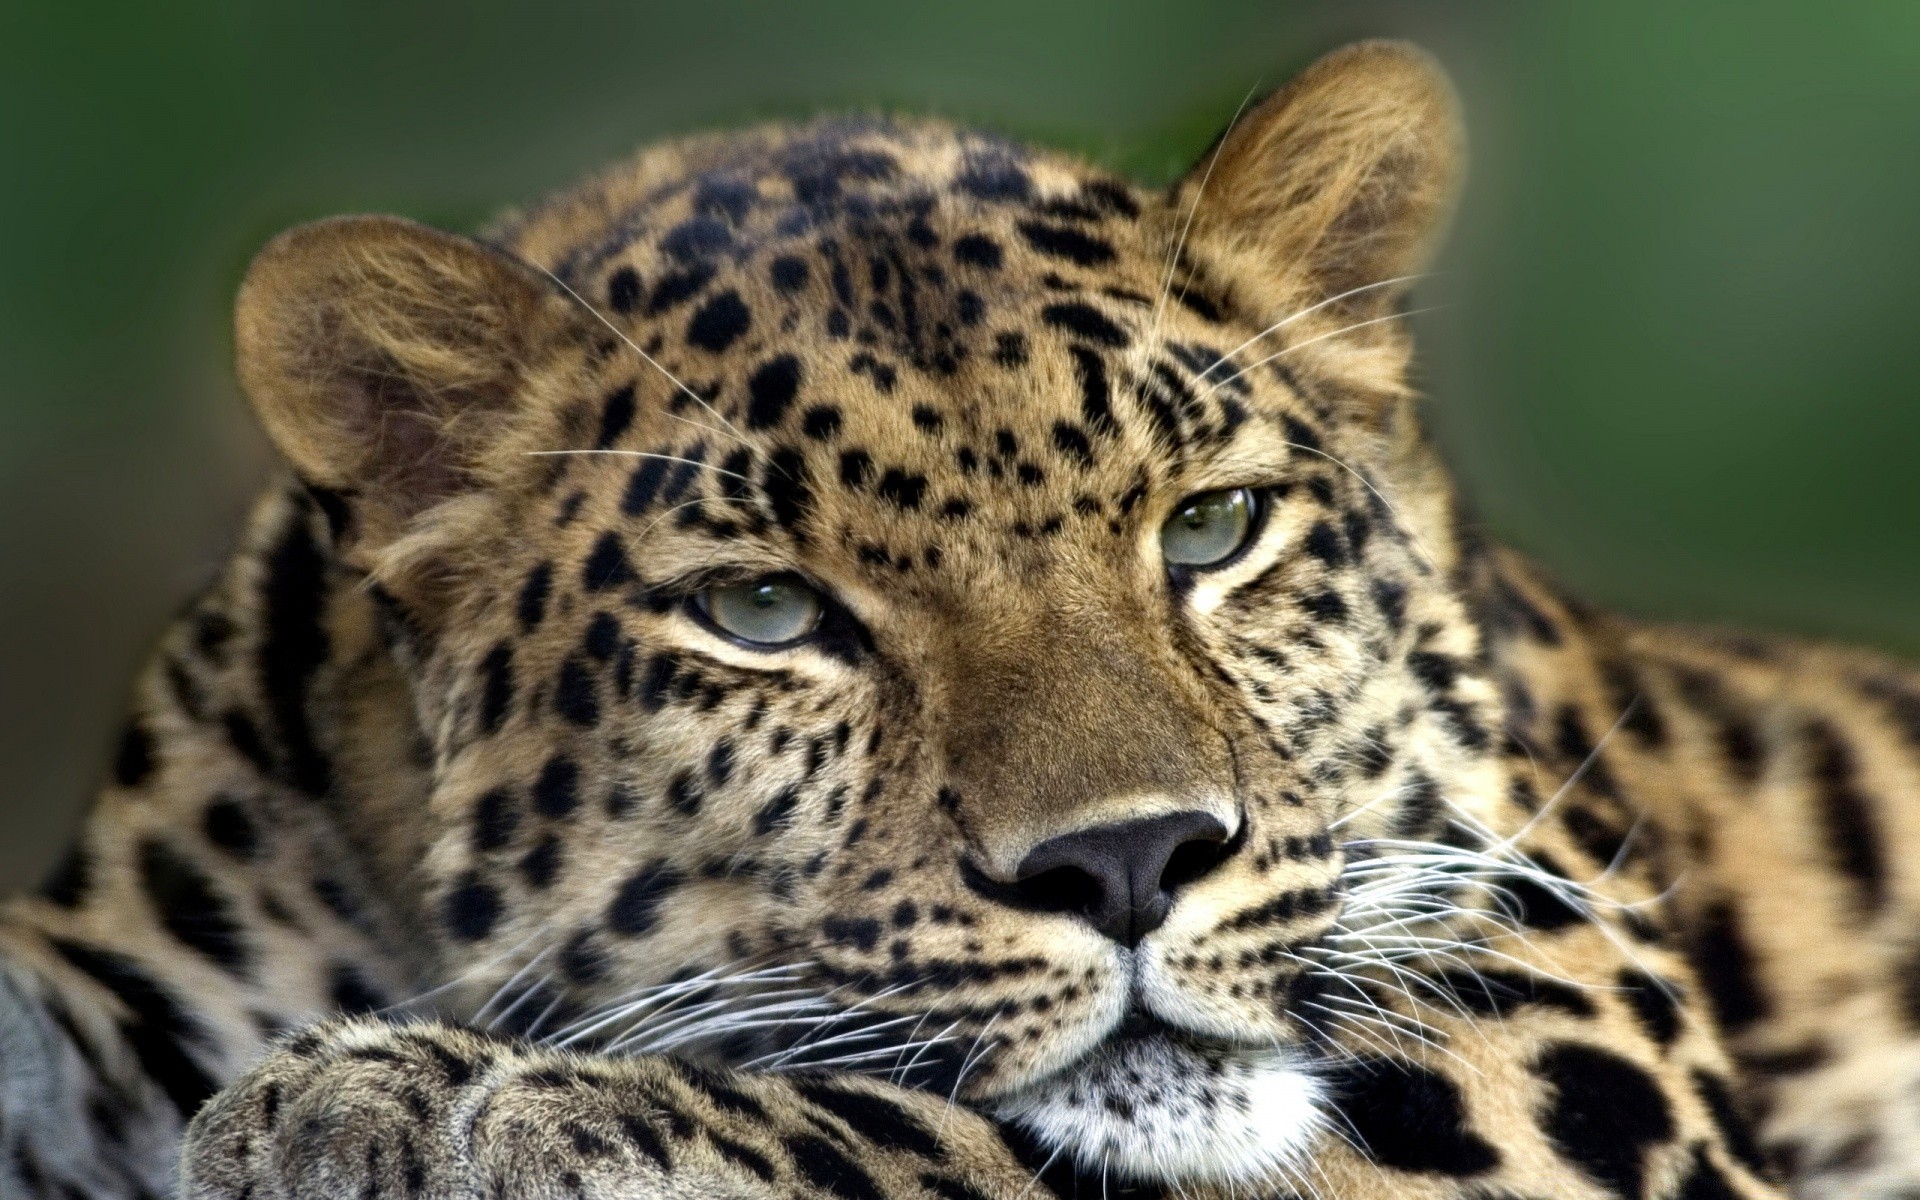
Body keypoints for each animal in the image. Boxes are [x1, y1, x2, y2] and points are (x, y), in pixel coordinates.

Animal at [3, 39, 1920, 1198]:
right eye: (765, 610)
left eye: (1210, 527)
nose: (1132, 863)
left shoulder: (1562, 1020)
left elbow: (962, 1135)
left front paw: (442, 1101)